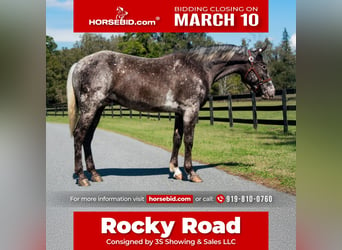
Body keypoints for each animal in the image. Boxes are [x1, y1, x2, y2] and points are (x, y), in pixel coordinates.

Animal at [67, 44, 276, 187]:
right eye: (264, 66)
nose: (271, 92)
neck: (200, 68)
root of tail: (79, 64)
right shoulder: (190, 110)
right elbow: (189, 141)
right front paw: (192, 173)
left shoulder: (179, 112)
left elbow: (177, 139)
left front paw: (175, 171)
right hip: (90, 108)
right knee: (79, 136)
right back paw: (82, 178)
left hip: (98, 109)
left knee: (88, 138)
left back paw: (94, 174)